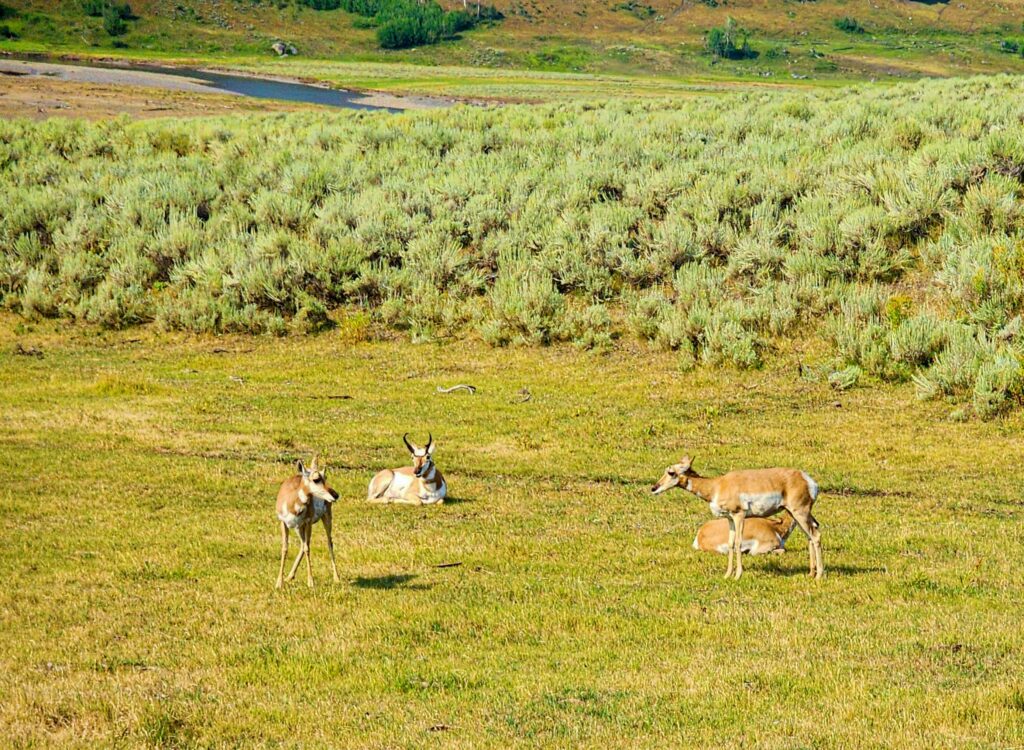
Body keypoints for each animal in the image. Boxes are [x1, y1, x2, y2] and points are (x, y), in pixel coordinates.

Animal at [274, 454, 342, 590]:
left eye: (325, 476)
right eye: (316, 479)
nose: (336, 495)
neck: (291, 501)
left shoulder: (308, 522)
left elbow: (307, 548)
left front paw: (311, 582)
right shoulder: (283, 523)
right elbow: (284, 548)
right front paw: (279, 583)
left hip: (325, 519)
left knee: (329, 542)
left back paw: (336, 578)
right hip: (298, 528)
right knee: (302, 544)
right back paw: (289, 577)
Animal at [655, 456, 823, 581]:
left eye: (671, 472)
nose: (653, 488)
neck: (717, 485)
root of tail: (808, 480)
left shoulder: (739, 515)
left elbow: (737, 543)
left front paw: (737, 576)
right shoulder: (730, 519)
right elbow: (730, 544)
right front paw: (727, 575)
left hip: (799, 513)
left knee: (815, 535)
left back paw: (819, 575)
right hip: (798, 514)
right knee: (811, 533)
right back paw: (811, 573)